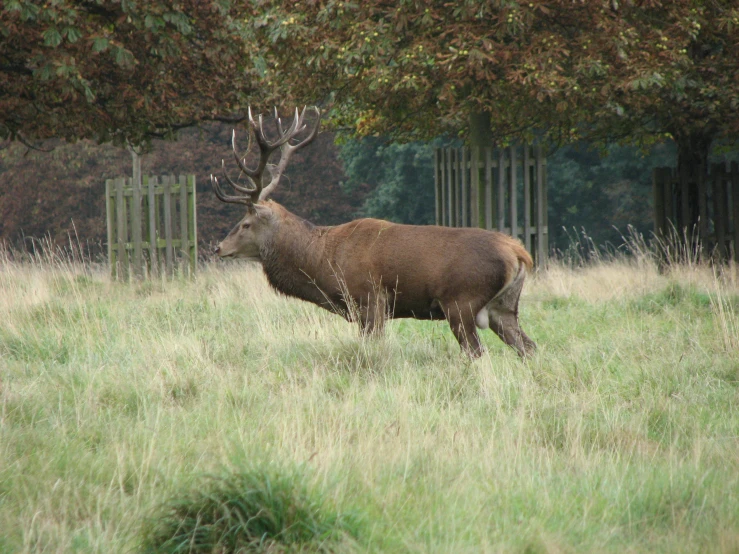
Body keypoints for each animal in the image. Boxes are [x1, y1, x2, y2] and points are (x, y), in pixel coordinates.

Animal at [211, 107, 536, 356]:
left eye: (245, 224)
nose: (218, 247)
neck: (322, 261)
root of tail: (519, 253)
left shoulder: (369, 299)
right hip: (503, 307)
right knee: (528, 347)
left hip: (461, 300)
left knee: (477, 352)